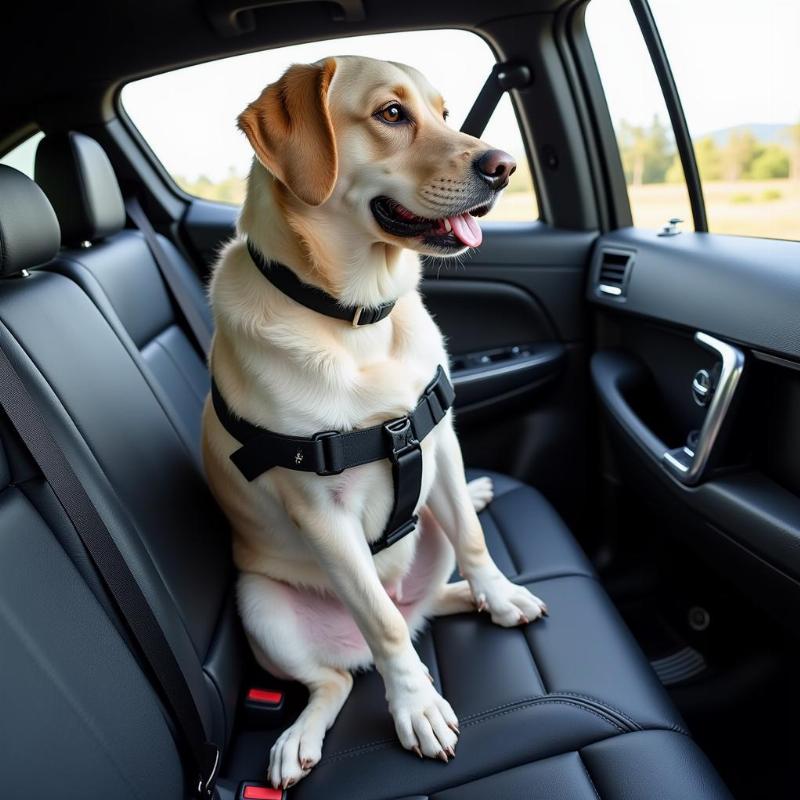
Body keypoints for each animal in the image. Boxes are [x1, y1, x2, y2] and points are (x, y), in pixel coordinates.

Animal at [203, 54, 548, 788]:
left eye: (445, 114)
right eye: (392, 114)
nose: (504, 166)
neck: (355, 319)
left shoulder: (438, 442)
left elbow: (475, 541)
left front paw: (500, 593)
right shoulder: (321, 514)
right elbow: (382, 625)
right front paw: (417, 707)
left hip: (427, 537)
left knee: (428, 592)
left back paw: (478, 575)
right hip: (262, 607)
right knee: (349, 665)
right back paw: (300, 736)